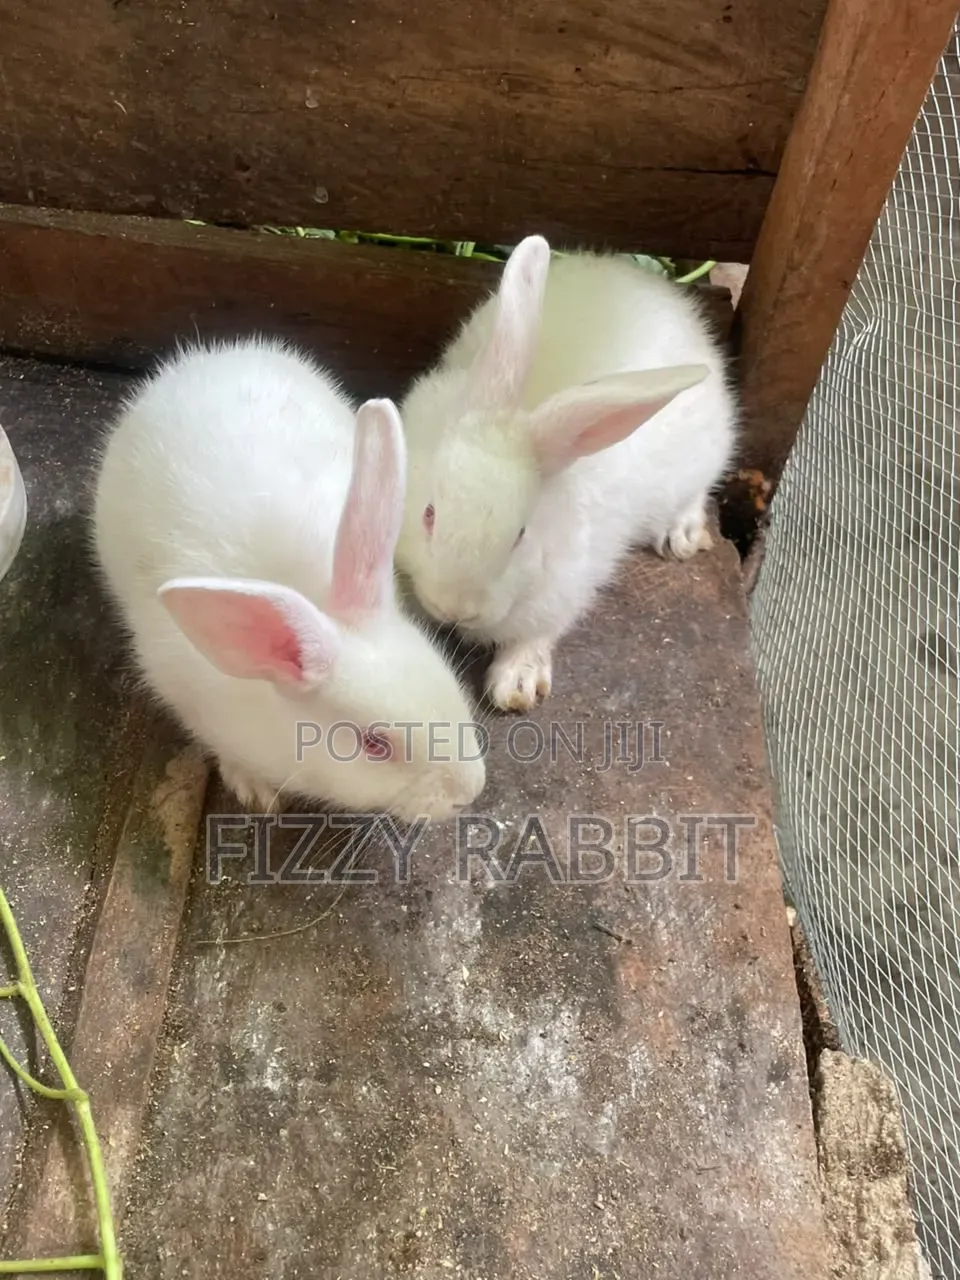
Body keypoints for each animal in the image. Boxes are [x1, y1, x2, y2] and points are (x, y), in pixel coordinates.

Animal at [394, 234, 739, 713]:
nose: (456, 608)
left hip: (703, 457)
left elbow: (536, 636)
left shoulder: (566, 591)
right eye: (429, 514)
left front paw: (517, 684)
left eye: (520, 536)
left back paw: (682, 537)